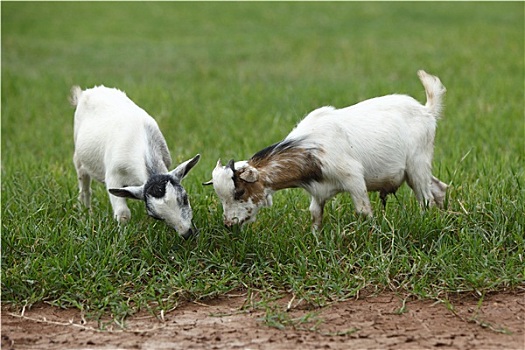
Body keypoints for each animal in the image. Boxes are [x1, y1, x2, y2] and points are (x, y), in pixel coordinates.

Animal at [70, 85, 201, 238]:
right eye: (156, 216)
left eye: (185, 198)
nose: (187, 233)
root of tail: (87, 92)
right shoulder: (113, 177)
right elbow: (123, 214)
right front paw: (122, 236)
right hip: (79, 158)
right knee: (84, 186)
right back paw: (85, 214)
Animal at [205, 71, 446, 230]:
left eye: (239, 192)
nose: (228, 223)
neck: (311, 149)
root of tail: (426, 110)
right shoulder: (318, 191)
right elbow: (315, 215)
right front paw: (316, 239)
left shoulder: (353, 178)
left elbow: (363, 211)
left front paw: (371, 234)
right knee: (439, 188)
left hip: (417, 164)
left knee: (425, 197)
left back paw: (425, 220)